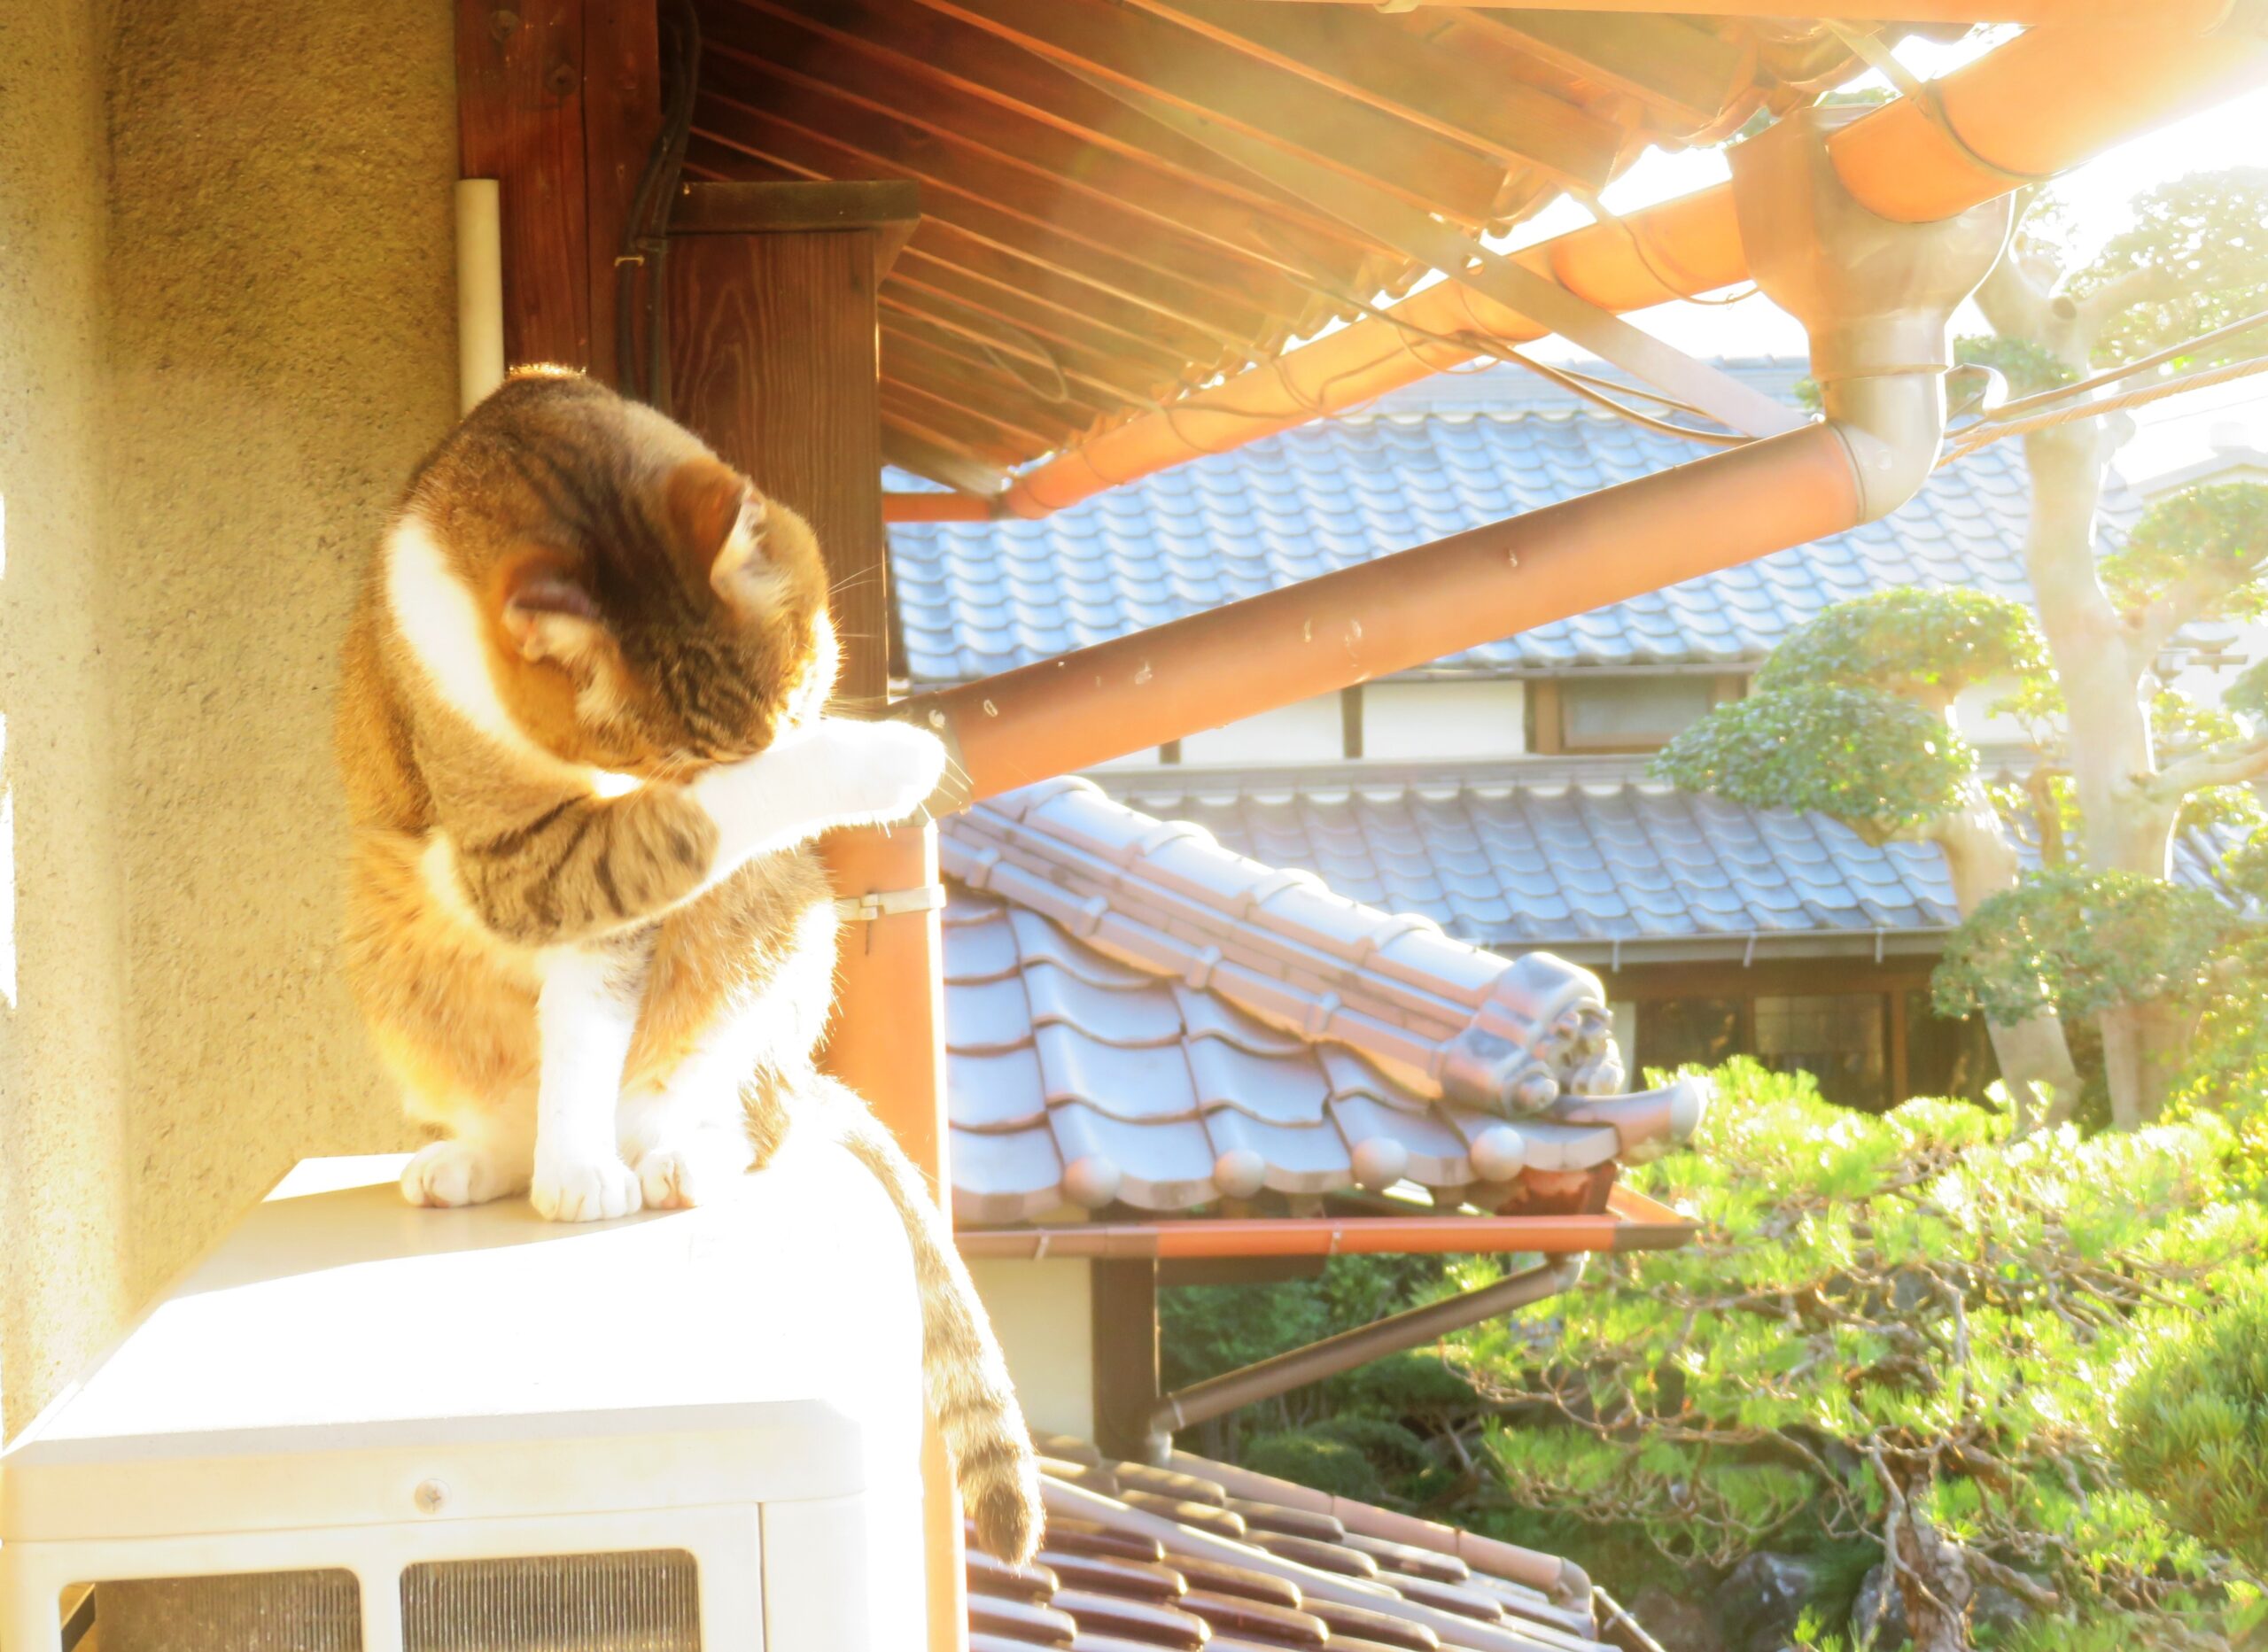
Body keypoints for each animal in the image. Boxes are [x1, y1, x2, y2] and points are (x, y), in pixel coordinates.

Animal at [333, 360, 1043, 1559]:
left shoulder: (606, 911)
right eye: (687, 756)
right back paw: (484, 1160)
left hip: (777, 939)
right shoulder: (526, 858)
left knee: (741, 1115)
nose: (776, 746)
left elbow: (590, 1021)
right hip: (382, 942)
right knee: (514, 1108)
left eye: (797, 697)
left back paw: (673, 1158)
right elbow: (679, 839)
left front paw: (581, 1171)